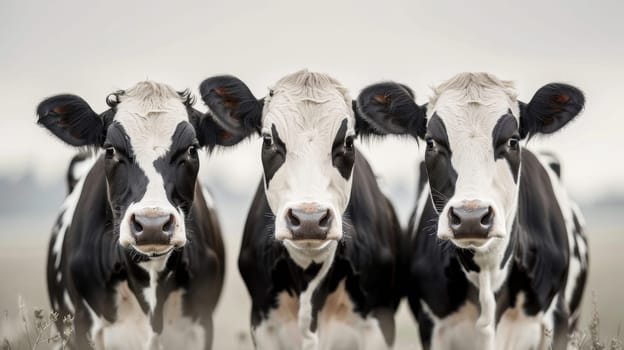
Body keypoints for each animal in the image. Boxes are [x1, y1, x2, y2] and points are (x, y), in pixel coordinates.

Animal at [356, 72, 588, 350]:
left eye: (512, 140)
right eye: (431, 142)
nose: (471, 218)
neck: (487, 272)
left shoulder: (557, 319)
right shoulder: (431, 324)